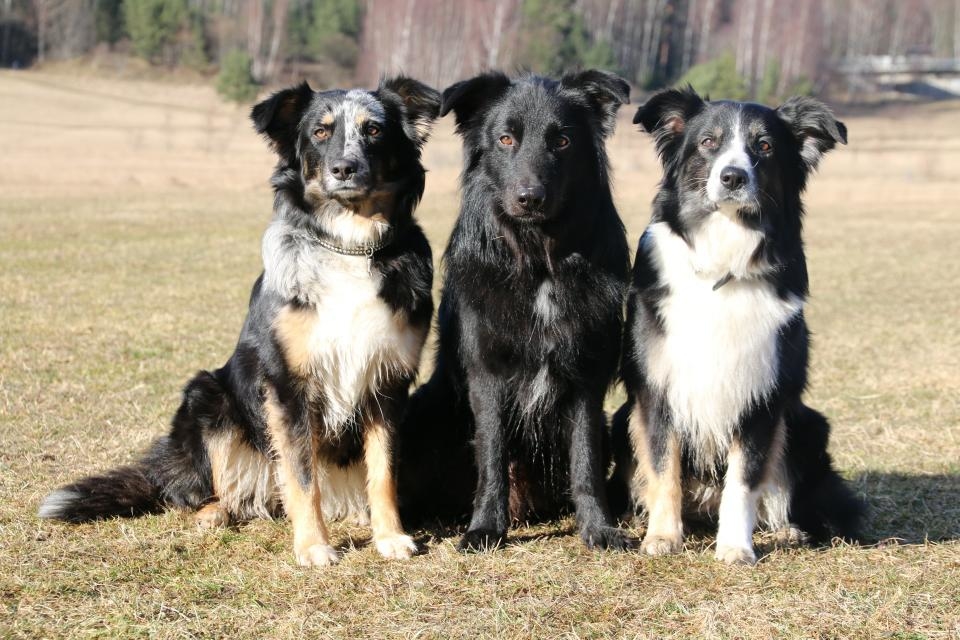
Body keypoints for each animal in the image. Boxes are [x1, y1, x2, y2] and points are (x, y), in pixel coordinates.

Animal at [39, 76, 440, 568]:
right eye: (320, 132)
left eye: (375, 130)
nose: (344, 168)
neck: (349, 244)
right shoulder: (288, 384)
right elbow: (302, 476)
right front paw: (313, 546)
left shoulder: (388, 382)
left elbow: (383, 472)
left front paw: (390, 537)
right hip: (208, 398)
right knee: (209, 491)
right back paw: (213, 512)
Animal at [400, 70, 632, 552]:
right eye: (506, 139)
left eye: (562, 141)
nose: (530, 198)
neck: (538, 260)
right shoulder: (486, 376)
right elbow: (491, 456)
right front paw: (485, 528)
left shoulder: (587, 380)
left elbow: (585, 460)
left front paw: (598, 529)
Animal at [612, 86, 868, 564]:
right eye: (708, 142)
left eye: (764, 146)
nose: (732, 176)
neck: (724, 259)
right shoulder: (657, 389)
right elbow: (663, 467)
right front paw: (662, 537)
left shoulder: (761, 396)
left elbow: (745, 479)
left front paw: (734, 546)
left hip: (807, 425)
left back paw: (787, 532)